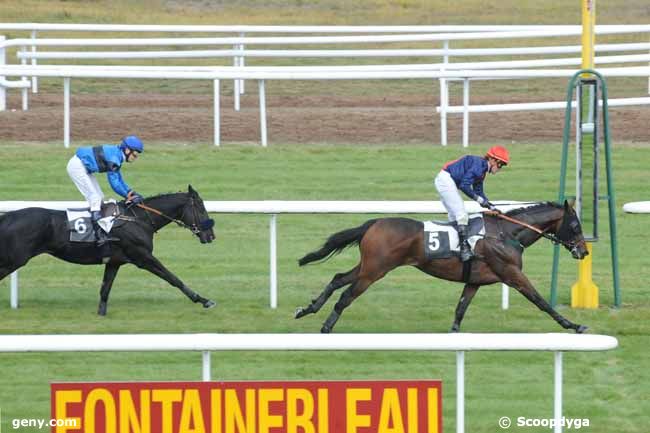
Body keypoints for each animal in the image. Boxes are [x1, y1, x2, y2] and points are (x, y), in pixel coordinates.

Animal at [0, 183, 218, 314]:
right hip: (14, 260)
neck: (138, 219)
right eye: (201, 208)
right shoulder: (143, 257)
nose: (210, 236)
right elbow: (173, 278)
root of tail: (8, 216)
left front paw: (101, 313)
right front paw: (203, 300)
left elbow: (105, 288)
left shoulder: (114, 262)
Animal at [296, 201, 588, 332]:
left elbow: (461, 308)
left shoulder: (474, 281)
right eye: (575, 226)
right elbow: (541, 301)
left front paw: (453, 333)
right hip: (374, 271)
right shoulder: (512, 274)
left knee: (338, 278)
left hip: (368, 266)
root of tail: (374, 222)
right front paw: (573, 324)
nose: (584, 251)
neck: (507, 234)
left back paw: (307, 309)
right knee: (346, 295)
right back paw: (326, 326)